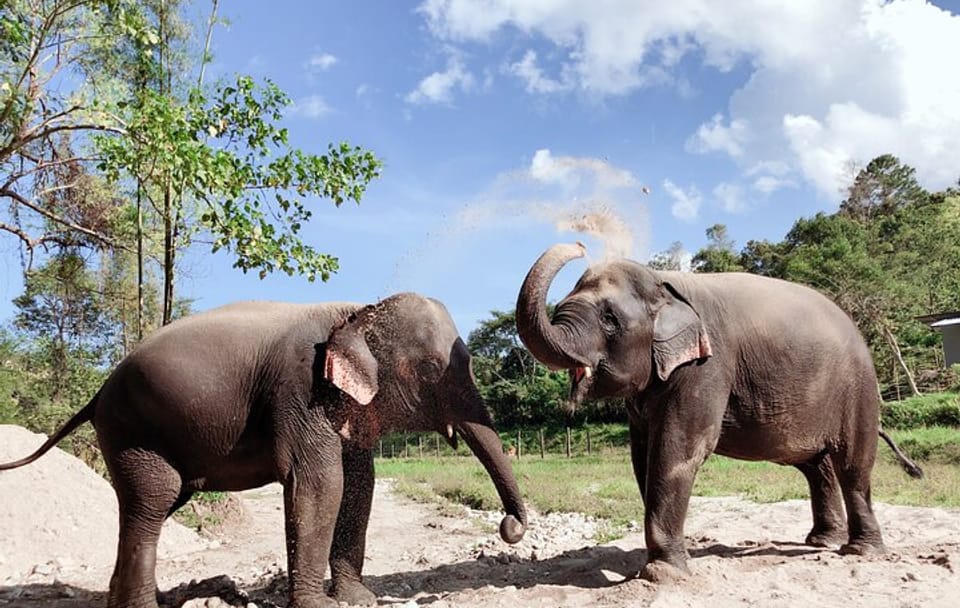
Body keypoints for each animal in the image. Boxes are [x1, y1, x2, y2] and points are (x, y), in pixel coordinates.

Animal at [0, 292, 526, 608]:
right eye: (432, 368)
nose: (510, 528)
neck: (356, 310)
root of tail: (98, 392)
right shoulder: (297, 390)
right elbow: (320, 485)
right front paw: (321, 606)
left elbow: (360, 483)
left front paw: (359, 600)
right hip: (133, 430)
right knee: (151, 503)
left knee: (158, 504)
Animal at [515, 242, 922, 582]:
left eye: (610, 319)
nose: (580, 245)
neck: (665, 284)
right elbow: (643, 457)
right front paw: (666, 562)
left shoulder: (708, 365)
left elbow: (680, 449)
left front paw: (663, 575)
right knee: (816, 467)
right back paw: (821, 542)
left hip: (858, 390)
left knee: (852, 464)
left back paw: (860, 552)